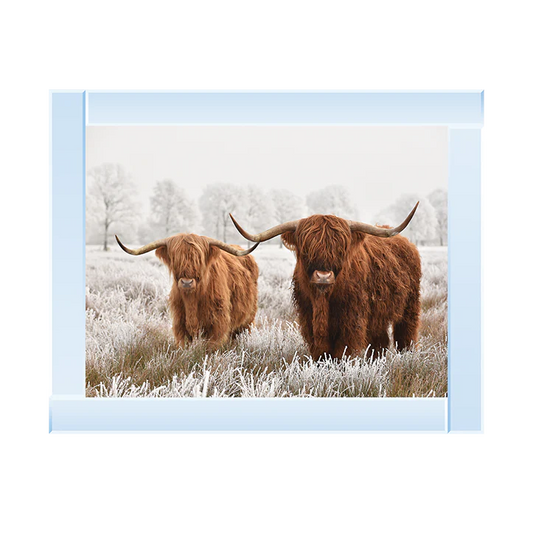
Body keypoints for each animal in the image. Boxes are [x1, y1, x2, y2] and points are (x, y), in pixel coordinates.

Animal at [115, 233, 260, 350]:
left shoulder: (217, 324)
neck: (192, 300)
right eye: (175, 259)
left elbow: (211, 348)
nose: (186, 282)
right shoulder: (180, 324)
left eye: (199, 259)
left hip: (248, 320)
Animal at [229, 204, 420, 362]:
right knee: (380, 342)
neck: (323, 300)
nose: (323, 276)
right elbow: (321, 352)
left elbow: (344, 352)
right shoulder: (308, 318)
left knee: (406, 335)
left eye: (341, 249)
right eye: (306, 249)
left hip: (410, 306)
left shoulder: (352, 320)